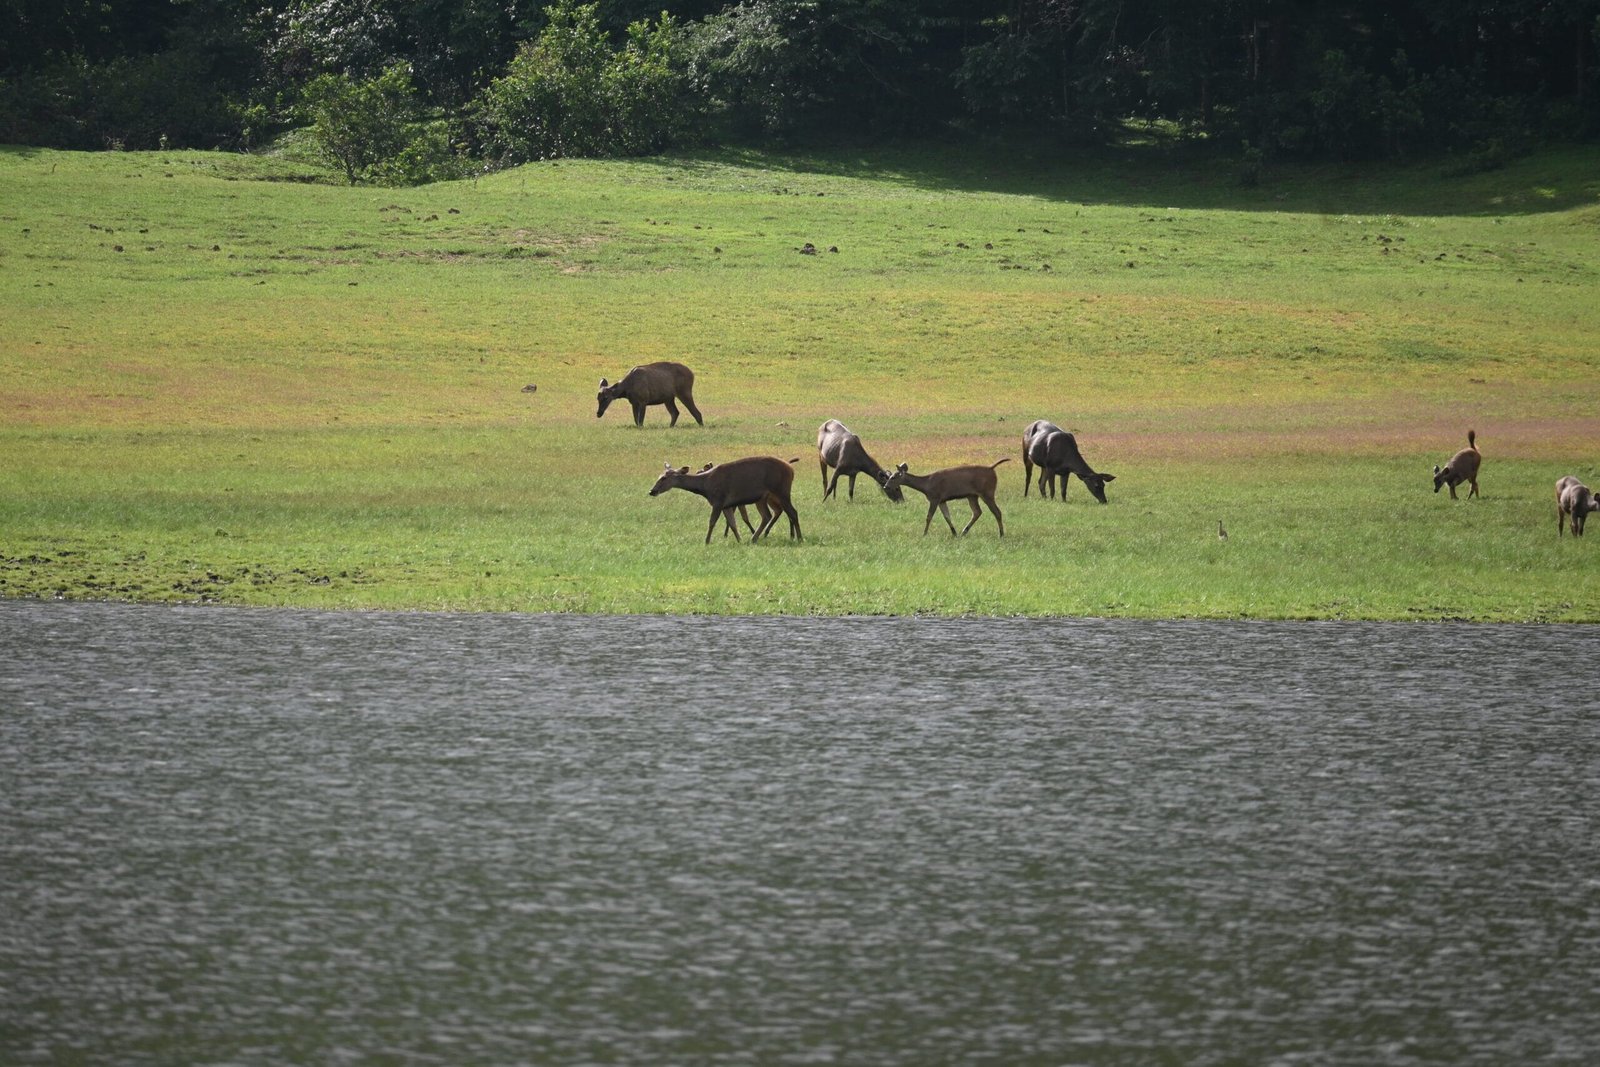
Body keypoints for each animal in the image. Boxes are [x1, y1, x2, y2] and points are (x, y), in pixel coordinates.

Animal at [649, 457, 802, 544]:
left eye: (664, 478)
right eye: (659, 476)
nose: (652, 491)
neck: (705, 487)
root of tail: (791, 469)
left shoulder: (718, 500)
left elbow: (712, 522)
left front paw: (707, 541)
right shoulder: (726, 505)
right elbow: (733, 524)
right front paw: (739, 540)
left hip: (781, 490)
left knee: (792, 512)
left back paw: (799, 538)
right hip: (763, 497)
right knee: (767, 515)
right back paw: (754, 538)